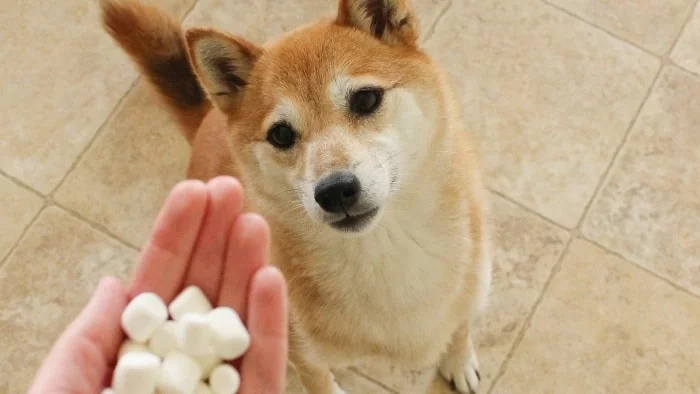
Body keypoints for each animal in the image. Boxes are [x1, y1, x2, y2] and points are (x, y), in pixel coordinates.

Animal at [100, 1, 492, 392]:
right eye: (281, 135)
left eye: (366, 99)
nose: (335, 192)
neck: (384, 252)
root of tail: (208, 118)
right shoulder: (305, 358)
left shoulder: (470, 290)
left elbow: (460, 329)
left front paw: (459, 362)